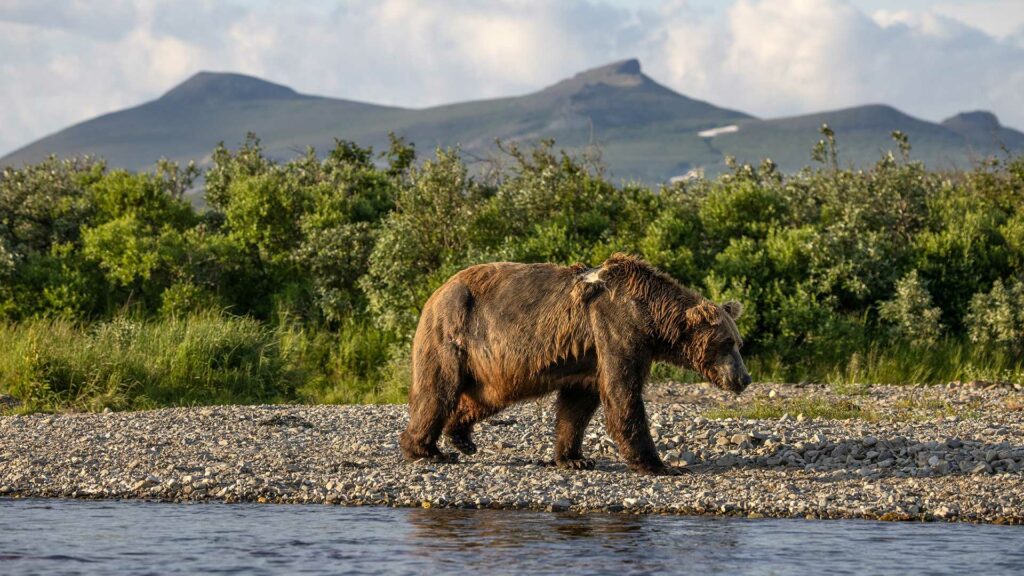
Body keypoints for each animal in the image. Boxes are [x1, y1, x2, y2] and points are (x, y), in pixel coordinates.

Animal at [399, 253, 753, 473]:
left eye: (739, 343)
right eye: (727, 343)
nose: (744, 378)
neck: (651, 316)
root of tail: (437, 291)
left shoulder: (588, 355)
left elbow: (578, 405)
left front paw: (574, 459)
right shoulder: (615, 326)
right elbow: (623, 392)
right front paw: (658, 464)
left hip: (490, 365)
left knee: (485, 396)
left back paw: (461, 437)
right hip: (452, 332)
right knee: (438, 389)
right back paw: (425, 450)